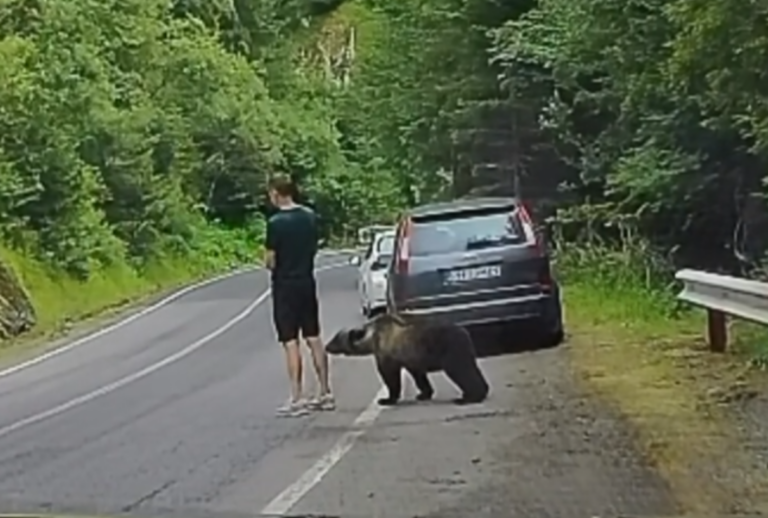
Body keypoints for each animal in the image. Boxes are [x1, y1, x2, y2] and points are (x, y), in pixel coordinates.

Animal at [324, 313, 490, 406]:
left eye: (336, 338)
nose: (326, 346)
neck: (373, 339)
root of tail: (465, 332)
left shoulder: (387, 354)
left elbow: (390, 377)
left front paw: (386, 399)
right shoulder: (411, 358)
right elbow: (419, 375)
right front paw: (424, 394)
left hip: (451, 350)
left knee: (461, 371)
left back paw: (469, 397)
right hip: (462, 351)